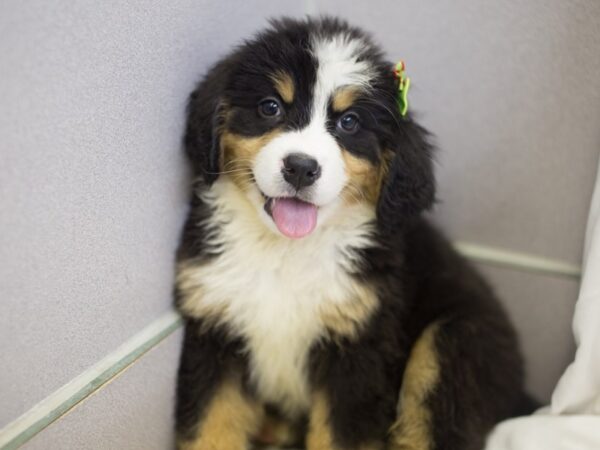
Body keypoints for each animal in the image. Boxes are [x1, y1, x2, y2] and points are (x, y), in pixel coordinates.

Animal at [175, 15, 528, 448]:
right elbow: (210, 426)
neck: (285, 253)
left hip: (453, 344)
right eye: (270, 107)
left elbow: (339, 434)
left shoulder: (358, 349)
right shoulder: (215, 328)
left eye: (349, 122)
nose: (300, 167)